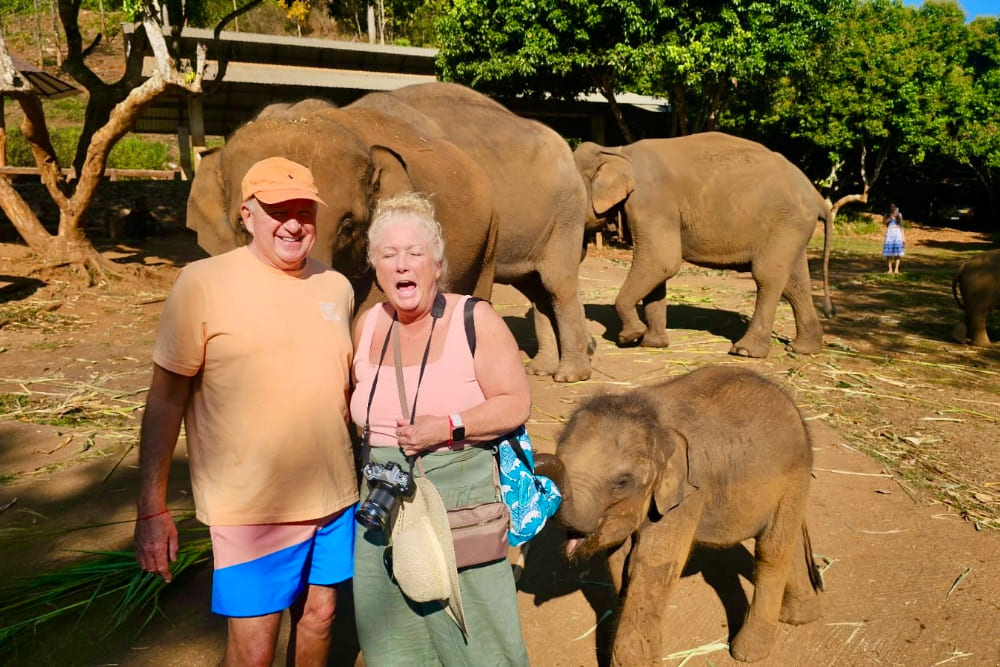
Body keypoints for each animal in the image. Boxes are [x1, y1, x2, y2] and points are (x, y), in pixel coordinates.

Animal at [188, 85, 592, 380]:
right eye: (244, 227)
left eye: (348, 224)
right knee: (537, 290)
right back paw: (543, 370)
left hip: (545, 220)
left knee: (554, 286)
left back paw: (569, 376)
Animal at [536, 368, 824, 664]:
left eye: (621, 483)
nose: (536, 461)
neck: (654, 421)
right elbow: (621, 560)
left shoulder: (688, 495)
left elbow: (652, 563)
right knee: (788, 542)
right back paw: (799, 617)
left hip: (793, 477)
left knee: (772, 550)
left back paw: (748, 653)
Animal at [576, 132, 832, 358]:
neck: (618, 151)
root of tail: (818, 197)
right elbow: (658, 270)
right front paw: (652, 344)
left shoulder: (651, 202)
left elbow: (661, 262)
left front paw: (630, 337)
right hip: (793, 227)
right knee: (795, 282)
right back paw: (802, 349)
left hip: (787, 222)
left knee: (767, 275)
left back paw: (745, 351)